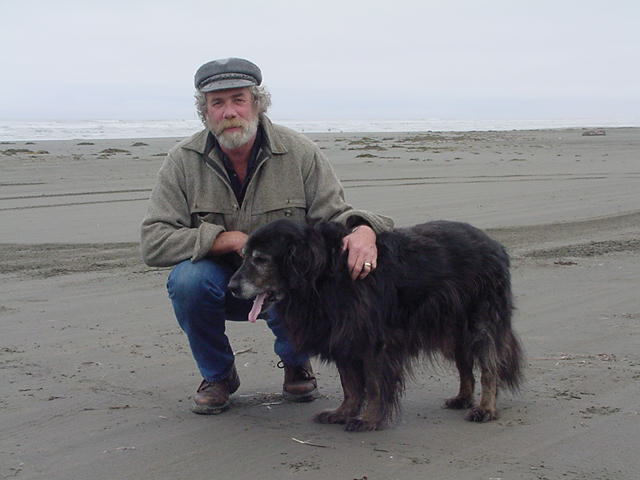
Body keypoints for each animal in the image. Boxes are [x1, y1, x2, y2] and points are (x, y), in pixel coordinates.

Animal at [228, 219, 524, 434]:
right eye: (243, 255)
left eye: (260, 259)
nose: (231, 287)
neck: (324, 273)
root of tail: (496, 246)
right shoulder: (344, 340)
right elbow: (350, 386)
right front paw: (343, 413)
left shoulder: (374, 344)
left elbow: (373, 386)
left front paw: (368, 419)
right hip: (453, 330)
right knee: (465, 366)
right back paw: (462, 398)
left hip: (481, 325)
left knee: (489, 369)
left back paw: (485, 409)